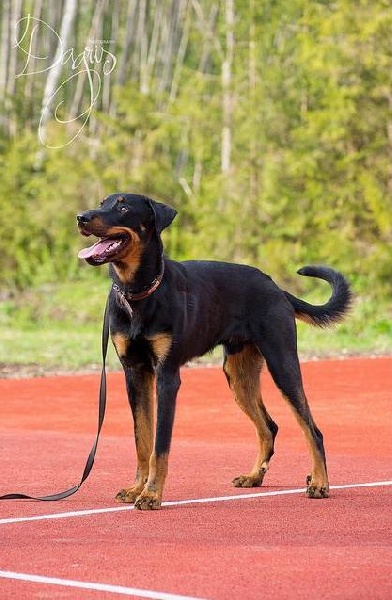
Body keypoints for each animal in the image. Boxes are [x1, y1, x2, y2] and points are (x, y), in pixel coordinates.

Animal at [77, 193, 352, 510]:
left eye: (123, 206)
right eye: (102, 202)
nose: (81, 217)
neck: (139, 292)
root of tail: (275, 287)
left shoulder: (167, 377)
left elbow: (160, 445)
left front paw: (151, 494)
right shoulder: (135, 374)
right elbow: (142, 440)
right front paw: (136, 488)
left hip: (282, 364)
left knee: (312, 430)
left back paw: (319, 483)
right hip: (238, 374)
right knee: (269, 427)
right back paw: (253, 476)